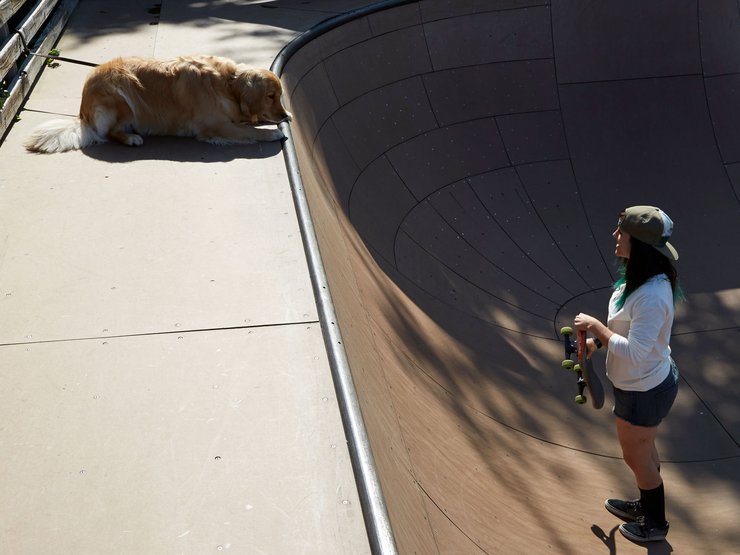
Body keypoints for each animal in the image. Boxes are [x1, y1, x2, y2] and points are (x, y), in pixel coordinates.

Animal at [23, 55, 290, 153]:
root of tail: (82, 116)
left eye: (279, 96)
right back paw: (131, 138)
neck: (227, 83)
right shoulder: (215, 125)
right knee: (108, 133)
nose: (284, 115)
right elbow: (248, 131)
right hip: (121, 92)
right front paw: (273, 133)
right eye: (270, 96)